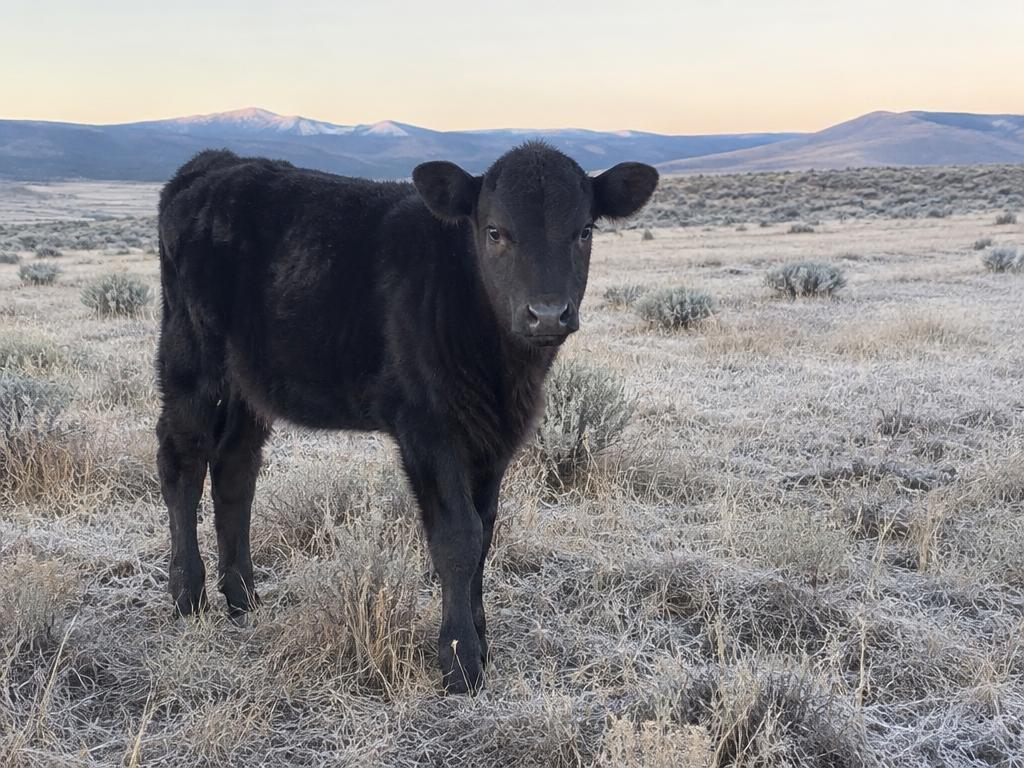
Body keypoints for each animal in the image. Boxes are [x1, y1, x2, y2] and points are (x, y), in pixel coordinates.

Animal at [155, 143, 658, 693]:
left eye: (584, 230)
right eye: (495, 231)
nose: (547, 313)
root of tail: (212, 164)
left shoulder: (495, 438)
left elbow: (485, 530)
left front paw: (481, 638)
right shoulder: (427, 427)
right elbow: (458, 536)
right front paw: (460, 661)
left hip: (249, 382)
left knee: (235, 469)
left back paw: (243, 596)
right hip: (191, 359)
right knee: (181, 461)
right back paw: (188, 595)